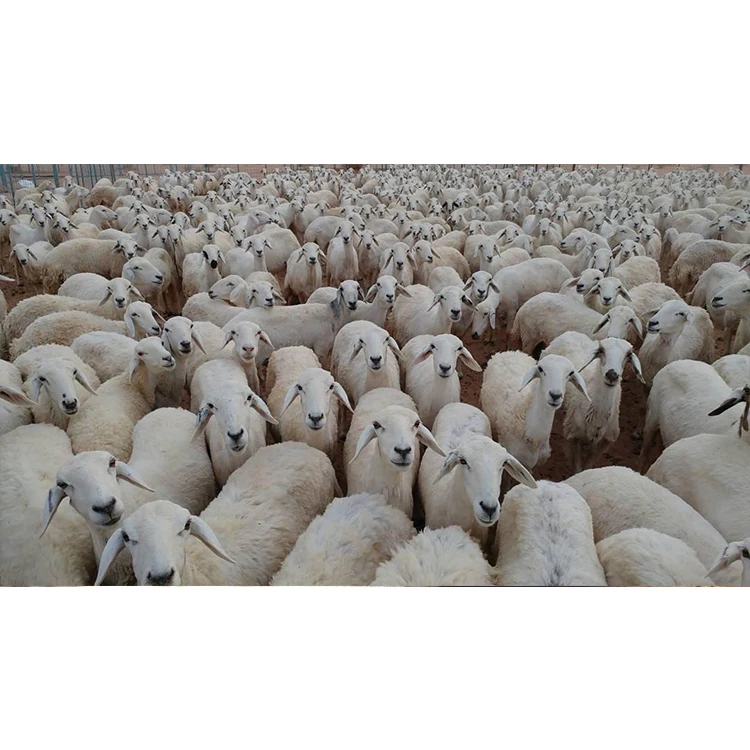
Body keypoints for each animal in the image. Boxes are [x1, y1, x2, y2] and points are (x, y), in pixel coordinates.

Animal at [541, 332, 644, 473]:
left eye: (628, 355)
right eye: (602, 350)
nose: (612, 375)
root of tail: (571, 332)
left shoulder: (602, 444)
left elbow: (587, 468)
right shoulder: (574, 437)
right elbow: (578, 469)